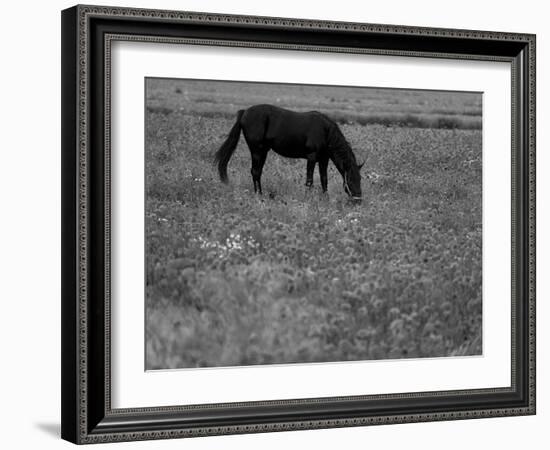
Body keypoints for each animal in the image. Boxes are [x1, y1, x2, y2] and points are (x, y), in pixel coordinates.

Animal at [216, 103, 366, 200]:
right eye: (350, 178)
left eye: (360, 178)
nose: (358, 199)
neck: (325, 131)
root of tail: (244, 112)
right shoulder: (312, 157)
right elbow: (309, 180)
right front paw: (308, 199)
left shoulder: (324, 159)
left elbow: (324, 179)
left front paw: (325, 199)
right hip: (256, 151)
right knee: (255, 172)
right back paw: (259, 195)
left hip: (263, 151)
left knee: (257, 172)